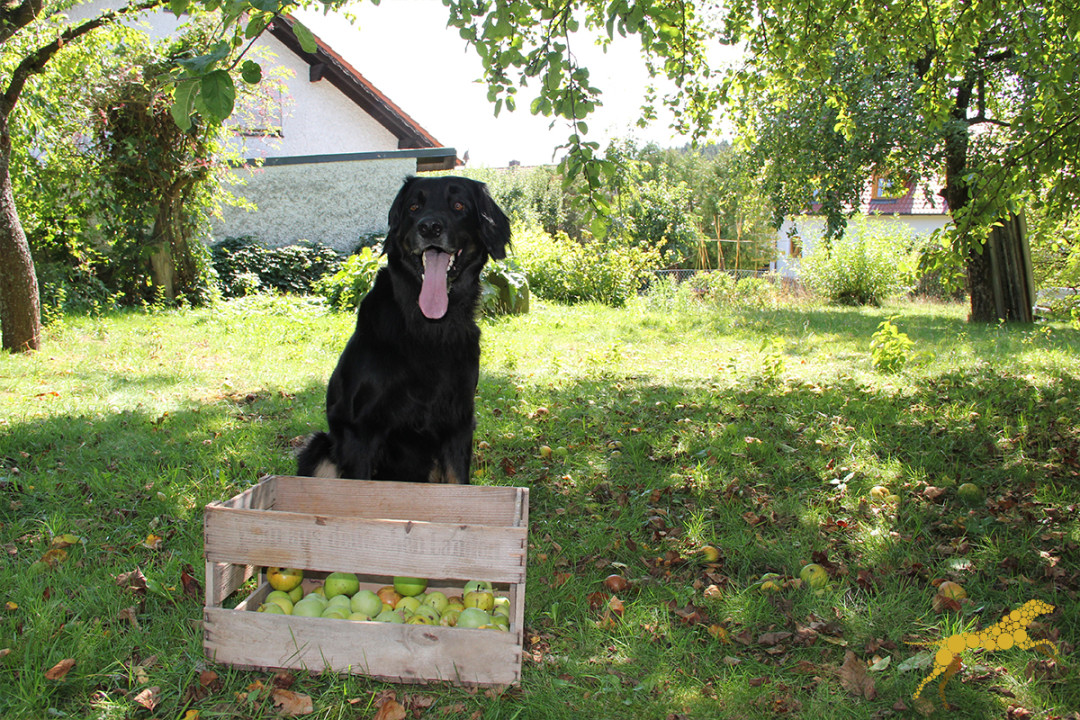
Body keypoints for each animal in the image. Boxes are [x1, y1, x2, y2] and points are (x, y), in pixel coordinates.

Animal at [298, 175, 511, 483]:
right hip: (319, 446)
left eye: (459, 205)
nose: (430, 227)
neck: (429, 327)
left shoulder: (458, 424)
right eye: (413, 207)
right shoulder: (360, 429)